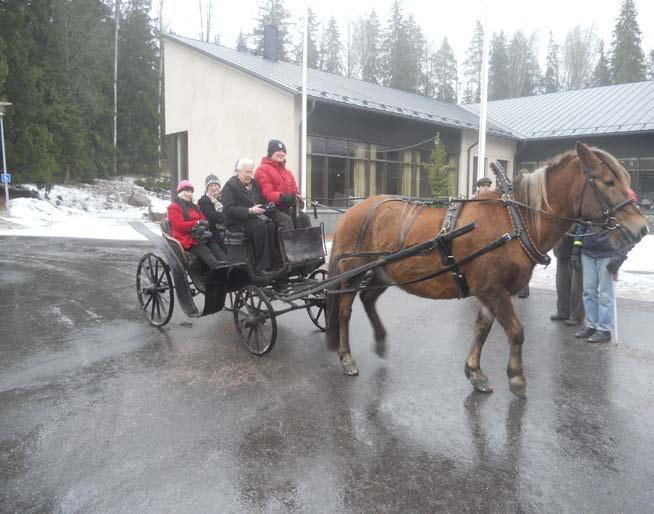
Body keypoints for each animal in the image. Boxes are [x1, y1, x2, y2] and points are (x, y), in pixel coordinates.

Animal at [328, 141, 652, 396]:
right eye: (608, 182)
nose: (641, 228)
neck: (516, 220)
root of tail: (354, 210)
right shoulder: (493, 290)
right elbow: (516, 331)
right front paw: (516, 377)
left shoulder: (489, 292)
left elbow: (482, 330)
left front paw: (475, 372)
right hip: (354, 270)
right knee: (344, 310)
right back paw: (346, 358)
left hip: (384, 272)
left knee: (368, 299)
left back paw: (380, 339)